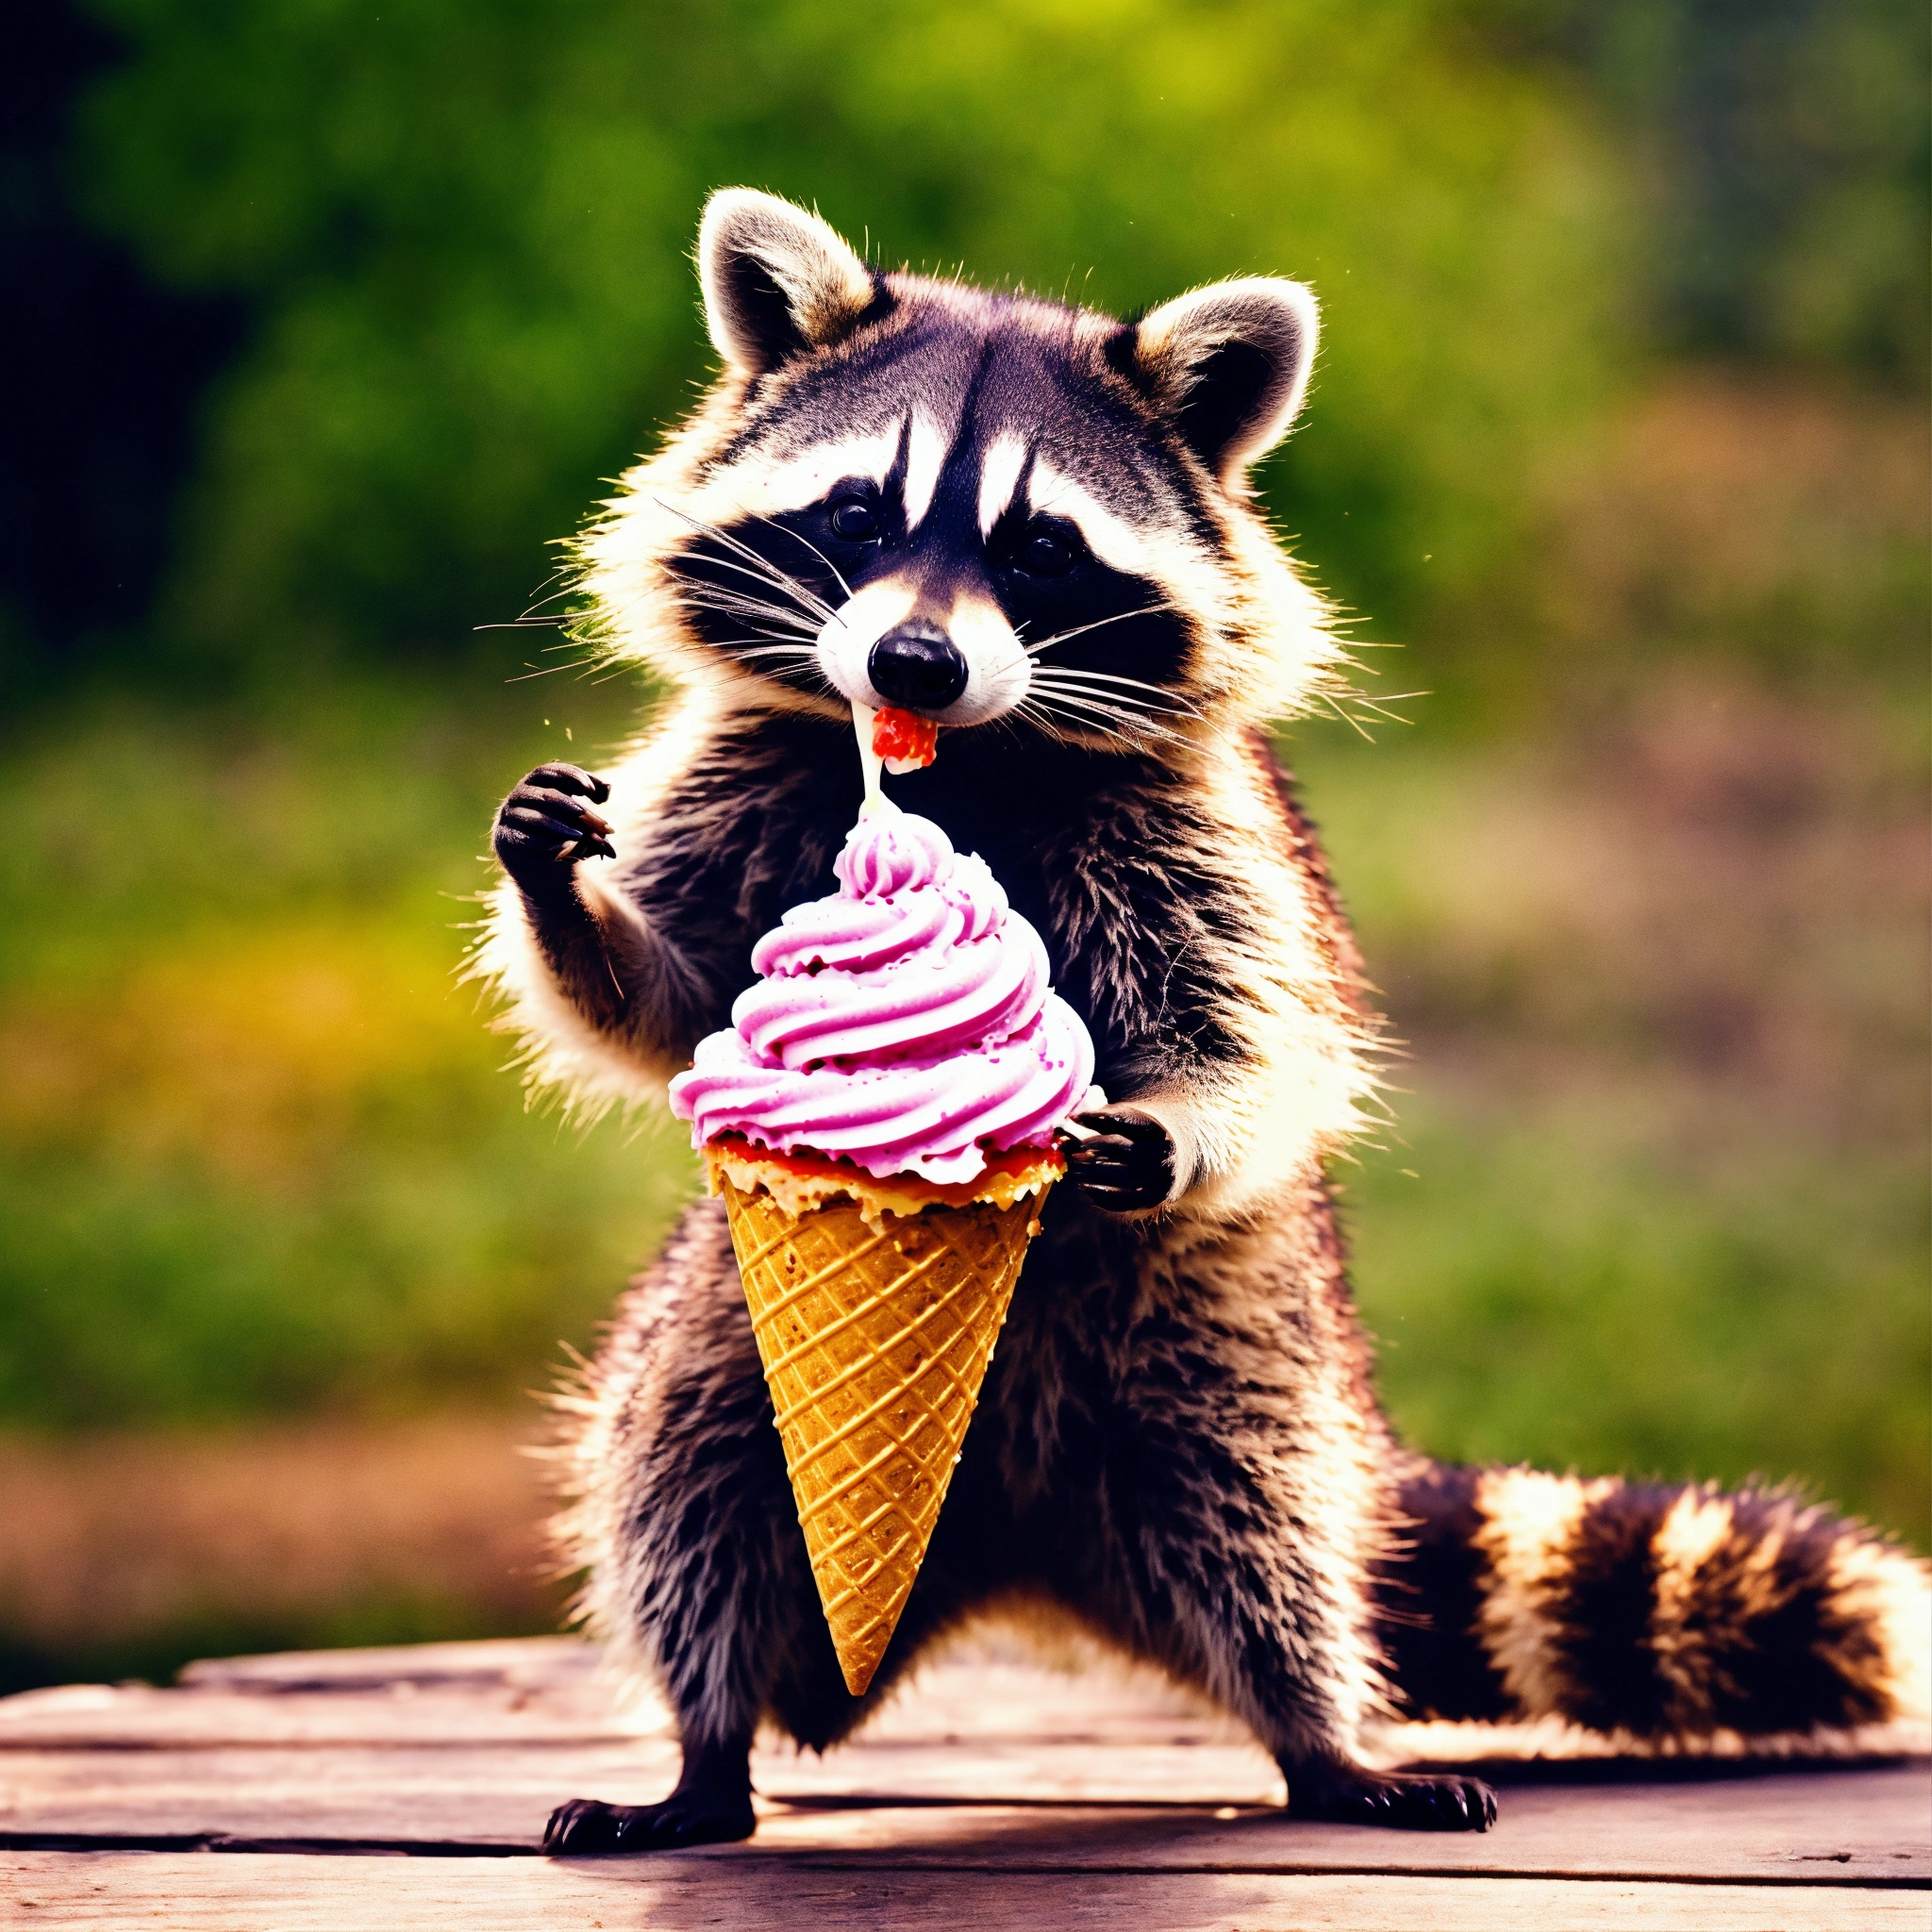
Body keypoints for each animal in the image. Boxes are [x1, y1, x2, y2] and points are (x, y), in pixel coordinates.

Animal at [478, 190, 1930, 1850]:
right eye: (857, 516)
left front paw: (1171, 1128)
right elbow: (665, 1001)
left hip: (1231, 1362)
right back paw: (707, 1752)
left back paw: (1321, 1739)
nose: (911, 661)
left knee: (1266, 1542)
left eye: (1039, 548)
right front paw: (569, 902)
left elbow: (1253, 1040)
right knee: (683, 1482)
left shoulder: (1208, 836)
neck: (961, 762)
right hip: (719, 1326)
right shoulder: (748, 764)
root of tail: (1015, 1559)